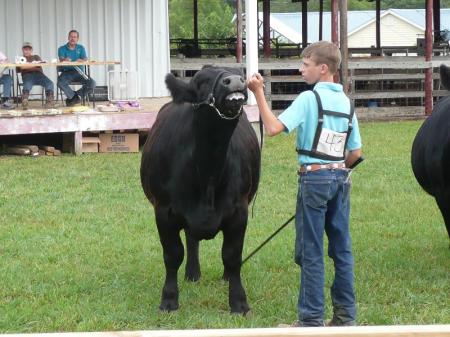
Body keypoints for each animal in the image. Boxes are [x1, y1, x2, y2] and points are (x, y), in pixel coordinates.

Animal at [141, 65, 260, 312]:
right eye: (200, 81)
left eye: (240, 73)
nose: (234, 80)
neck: (208, 173)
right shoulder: (163, 211)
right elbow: (172, 254)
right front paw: (169, 300)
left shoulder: (239, 212)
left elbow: (232, 256)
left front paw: (239, 302)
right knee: (190, 238)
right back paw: (192, 273)